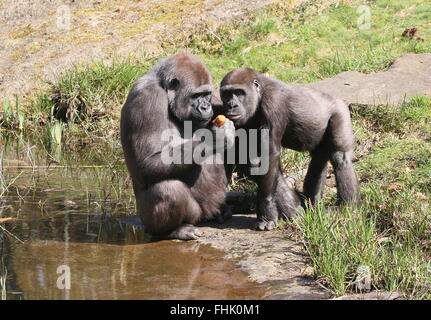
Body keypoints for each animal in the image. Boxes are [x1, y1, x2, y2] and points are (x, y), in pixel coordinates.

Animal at [121, 52, 235, 239]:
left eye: (207, 94)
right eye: (196, 96)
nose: (206, 107)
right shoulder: (146, 99)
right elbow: (148, 161)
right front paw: (216, 138)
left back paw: (220, 211)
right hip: (161, 219)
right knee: (168, 190)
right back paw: (174, 230)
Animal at [221, 69, 360, 231]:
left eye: (239, 92)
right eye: (226, 94)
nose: (231, 105)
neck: (260, 92)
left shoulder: (273, 103)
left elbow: (268, 156)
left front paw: (267, 211)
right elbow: (246, 159)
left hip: (340, 112)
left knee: (340, 157)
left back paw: (347, 206)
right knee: (319, 159)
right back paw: (310, 205)